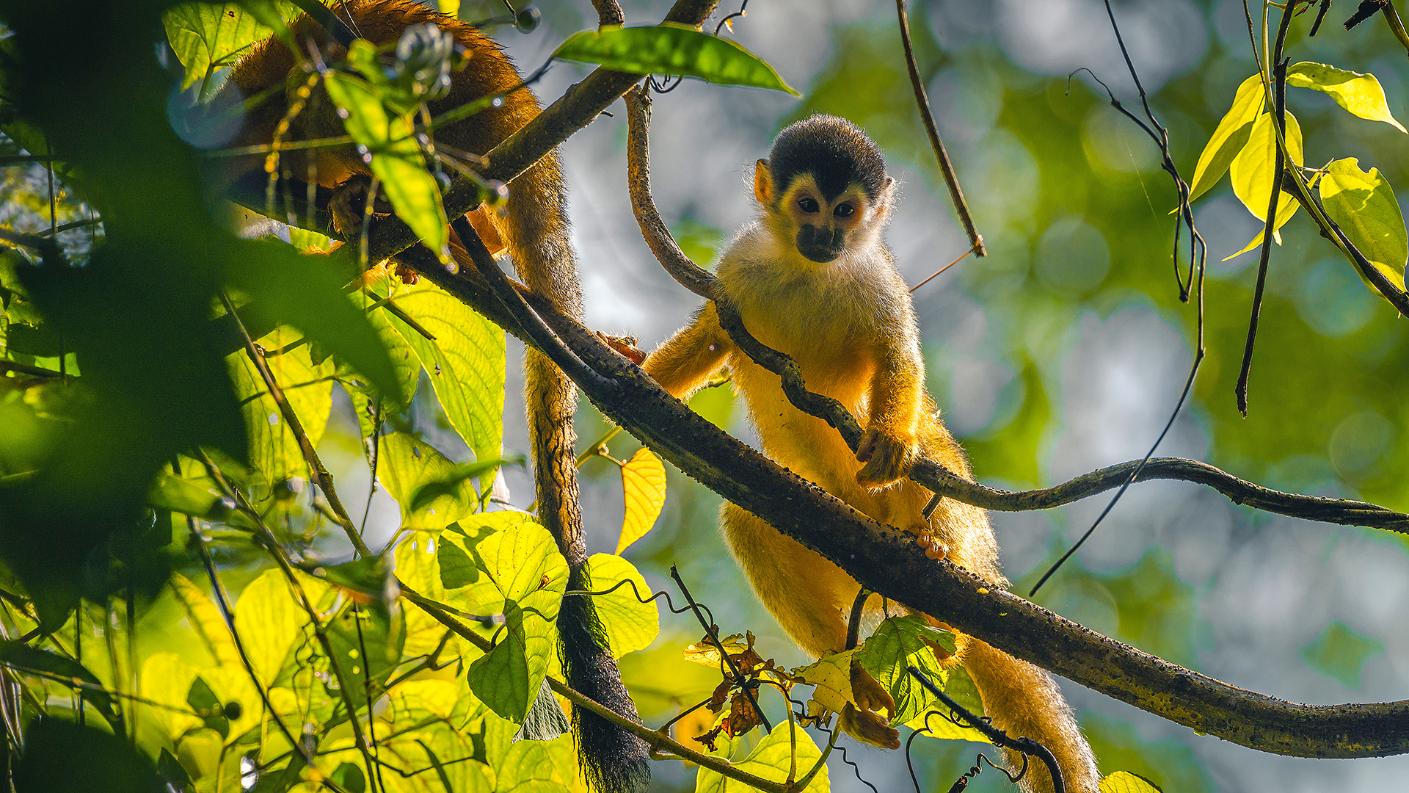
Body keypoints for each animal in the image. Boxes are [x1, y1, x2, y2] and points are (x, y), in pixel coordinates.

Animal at [641, 115, 1100, 793]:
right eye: (808, 205)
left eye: (847, 210)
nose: (828, 235)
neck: (807, 270)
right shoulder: (739, 264)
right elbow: (715, 334)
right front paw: (636, 372)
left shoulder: (877, 279)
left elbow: (896, 356)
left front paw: (888, 439)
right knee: (751, 521)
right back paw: (851, 680)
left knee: (929, 461)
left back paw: (938, 572)